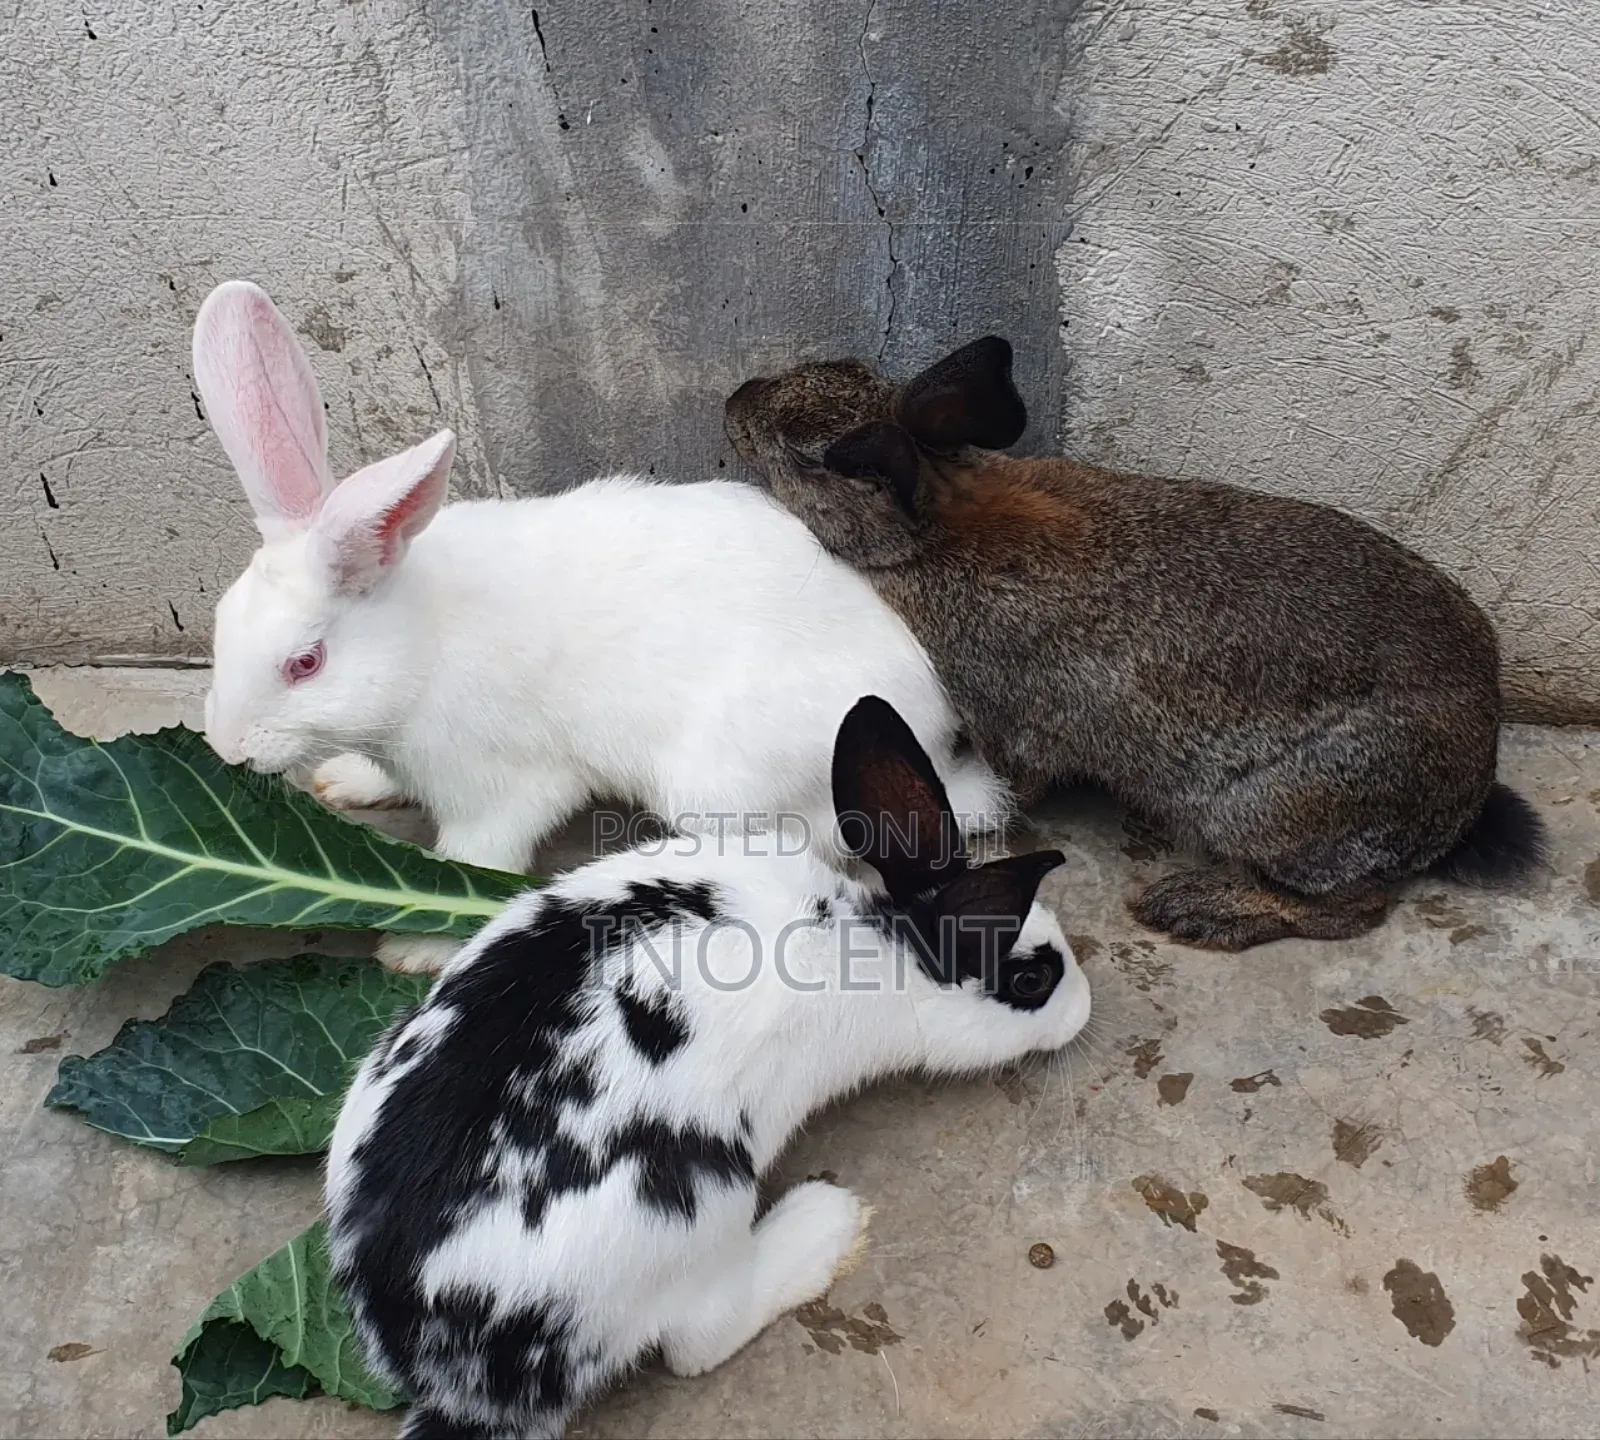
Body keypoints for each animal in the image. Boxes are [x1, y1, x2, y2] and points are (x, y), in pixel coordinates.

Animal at [190, 281, 1009, 974]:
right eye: (221, 628)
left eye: (305, 663)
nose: (227, 750)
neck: (420, 645)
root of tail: (935, 744)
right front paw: (343, 781)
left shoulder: (502, 787)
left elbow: (475, 855)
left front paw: (415, 946)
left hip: (719, 787)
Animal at [325, 693, 1089, 1439]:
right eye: (1033, 980)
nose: (1085, 1008)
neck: (885, 944)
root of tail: (466, 1387)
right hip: (699, 1201)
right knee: (700, 1338)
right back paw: (824, 1225)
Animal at [724, 335, 1547, 952]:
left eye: (801, 454)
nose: (734, 404)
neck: (941, 530)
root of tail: (1465, 791)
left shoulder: (1012, 717)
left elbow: (1017, 780)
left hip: (1276, 808)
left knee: (1355, 906)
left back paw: (1197, 908)